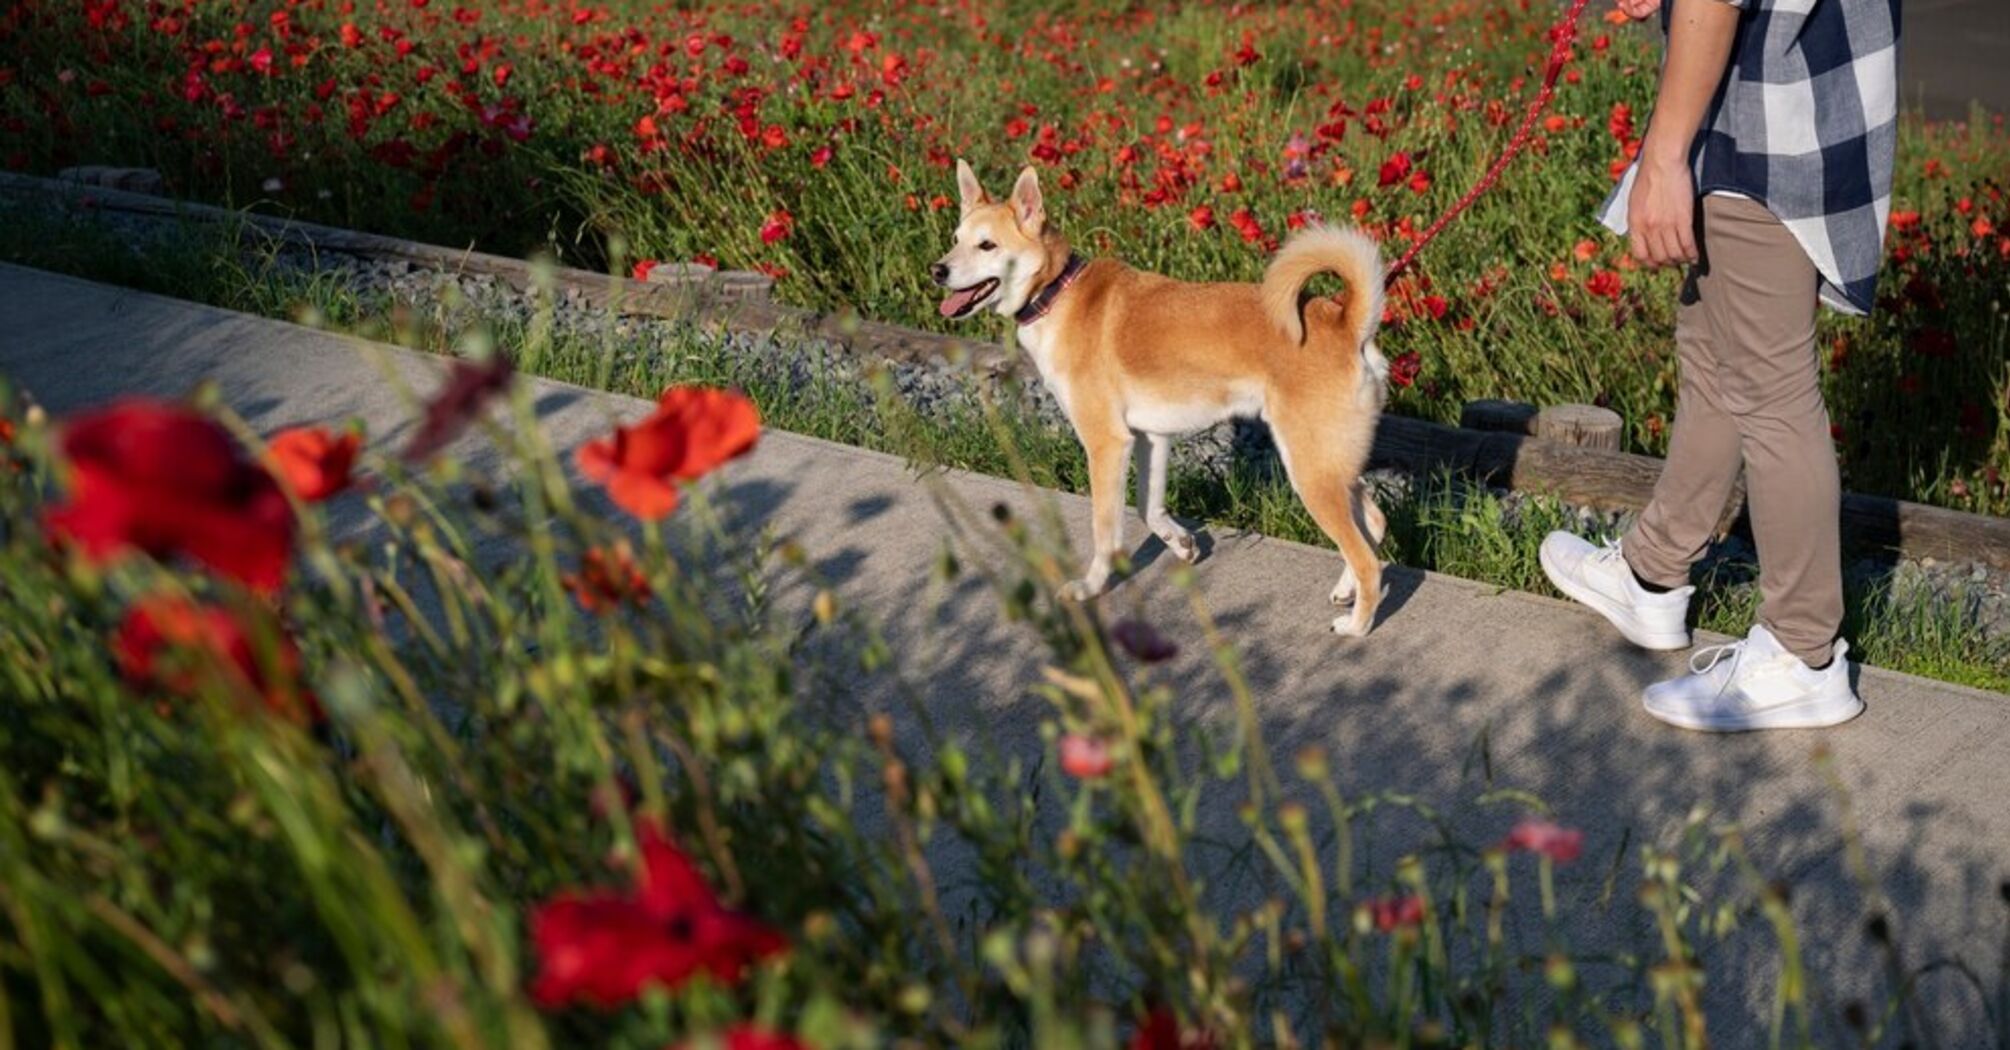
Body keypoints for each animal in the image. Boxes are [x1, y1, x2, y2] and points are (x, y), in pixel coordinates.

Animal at [932, 159, 1390, 631]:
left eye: (987, 245)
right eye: (956, 240)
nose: (937, 270)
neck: (1057, 293)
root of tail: (1345, 322)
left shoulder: (1107, 444)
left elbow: (1105, 530)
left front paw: (1092, 587)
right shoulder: (1151, 438)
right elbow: (1147, 508)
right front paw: (1181, 542)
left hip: (1310, 470)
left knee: (1367, 557)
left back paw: (1357, 625)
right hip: (1330, 462)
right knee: (1373, 522)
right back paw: (1347, 590)